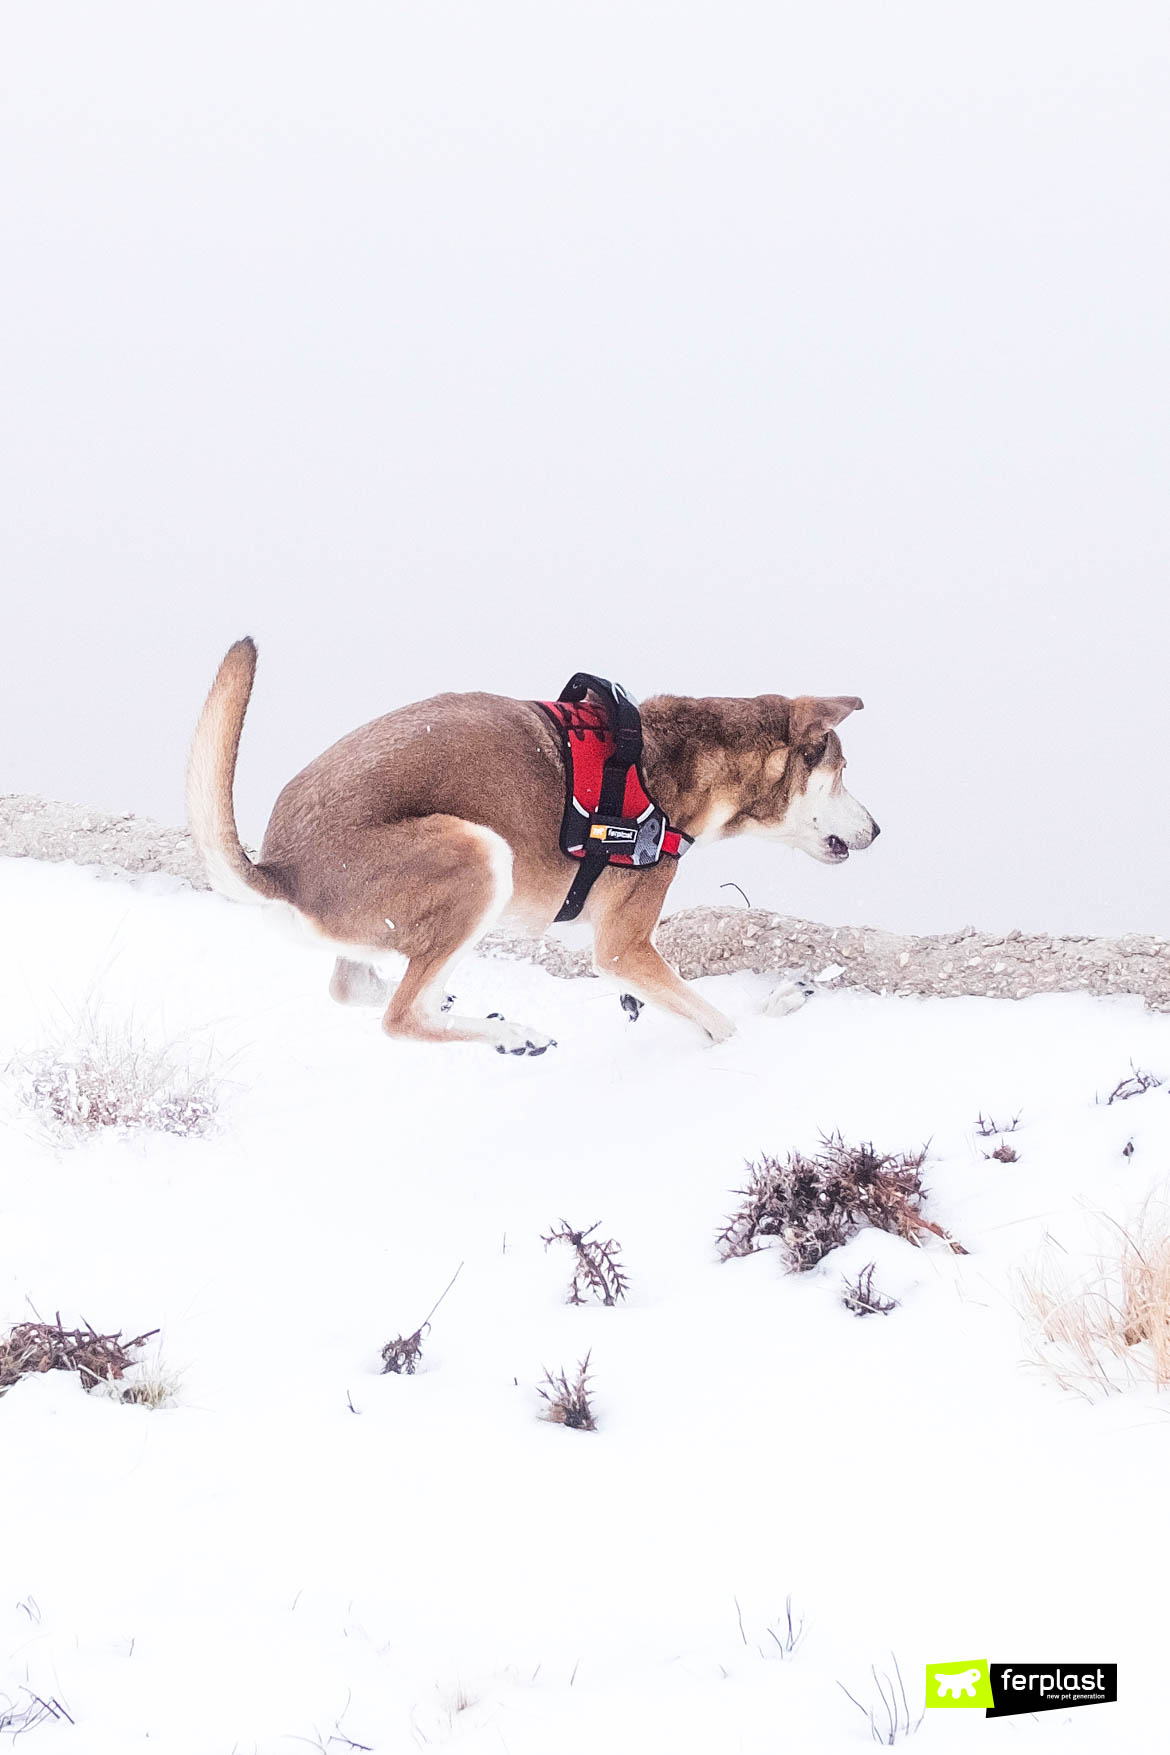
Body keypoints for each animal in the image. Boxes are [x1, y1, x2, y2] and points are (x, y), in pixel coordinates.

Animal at [185, 645, 877, 1053]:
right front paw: (768, 1021)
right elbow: (722, 1025)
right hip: (481, 854)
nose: (877, 830)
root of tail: (279, 870)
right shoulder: (623, 950)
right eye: (843, 773)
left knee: (354, 986)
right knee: (401, 1016)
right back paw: (510, 1033)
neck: (672, 761)